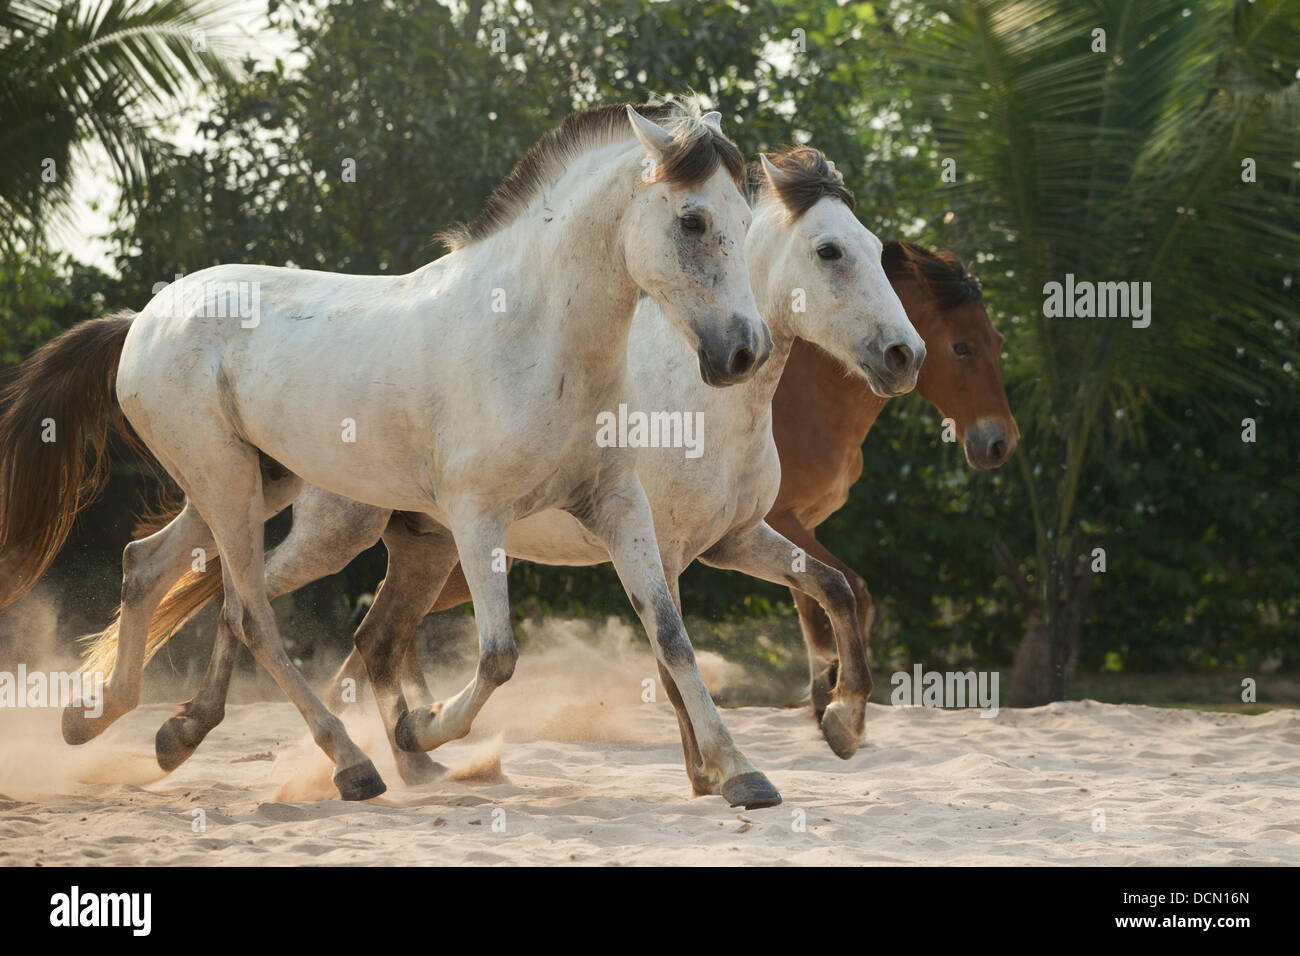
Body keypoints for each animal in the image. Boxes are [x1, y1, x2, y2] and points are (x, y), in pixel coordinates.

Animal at [78, 145, 925, 796]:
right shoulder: (673, 547)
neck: (696, 398)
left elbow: (826, 590)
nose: (904, 355)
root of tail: (149, 315)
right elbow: (667, 649)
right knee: (246, 604)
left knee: (186, 577)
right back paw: (316, 754)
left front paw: (838, 727)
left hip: (309, 508)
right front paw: (713, 769)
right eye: (830, 251)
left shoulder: (732, 540)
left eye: (877, 248)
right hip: (319, 523)